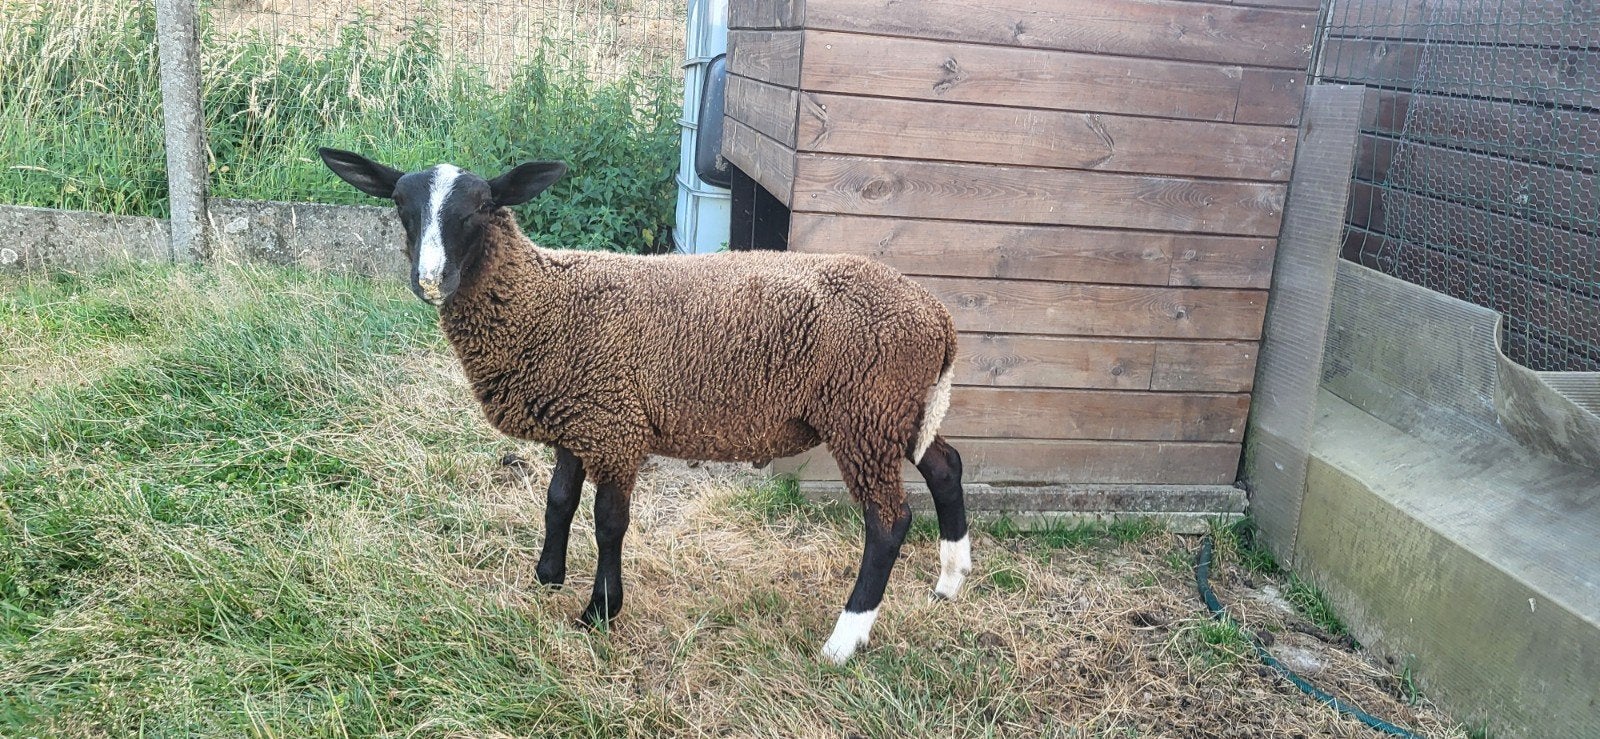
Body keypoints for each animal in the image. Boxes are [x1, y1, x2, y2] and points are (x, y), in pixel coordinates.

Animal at [317, 147, 972, 664]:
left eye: (480, 207)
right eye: (401, 207)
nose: (430, 281)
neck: (543, 300)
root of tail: (936, 317)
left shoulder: (614, 425)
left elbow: (609, 522)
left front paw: (600, 612)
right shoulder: (579, 418)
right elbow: (558, 502)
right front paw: (548, 578)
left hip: (863, 412)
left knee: (888, 521)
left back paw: (844, 640)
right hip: (896, 413)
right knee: (946, 466)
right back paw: (951, 580)